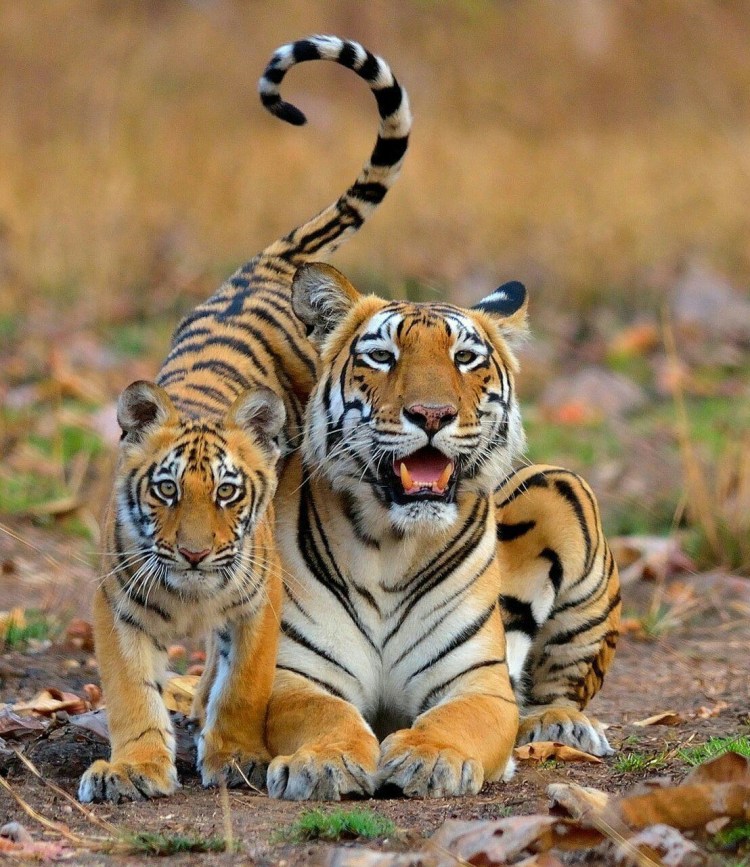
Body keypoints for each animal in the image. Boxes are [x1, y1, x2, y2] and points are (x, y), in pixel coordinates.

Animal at [78, 34, 413, 803]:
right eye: (166, 490)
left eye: (229, 492)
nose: (196, 554)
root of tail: (267, 263)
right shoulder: (115, 603)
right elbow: (129, 692)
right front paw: (134, 767)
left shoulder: (262, 598)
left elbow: (246, 686)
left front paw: (234, 755)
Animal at [263, 262, 620, 800]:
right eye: (382, 357)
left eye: (465, 358)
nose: (432, 414)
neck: (391, 547)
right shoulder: (293, 677)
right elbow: (323, 713)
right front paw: (325, 763)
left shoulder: (477, 681)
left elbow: (459, 719)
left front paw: (428, 758)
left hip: (564, 490)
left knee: (557, 689)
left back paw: (561, 725)